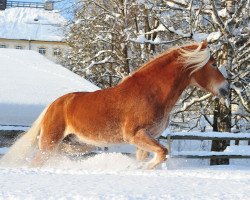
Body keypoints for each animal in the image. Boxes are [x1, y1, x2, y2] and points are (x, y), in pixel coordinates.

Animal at [1, 40, 229, 169]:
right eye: (214, 64)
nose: (226, 88)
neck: (150, 93)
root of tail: (53, 105)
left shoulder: (145, 138)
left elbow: (149, 155)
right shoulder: (134, 134)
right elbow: (162, 153)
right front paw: (135, 169)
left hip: (75, 145)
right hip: (50, 142)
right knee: (38, 162)